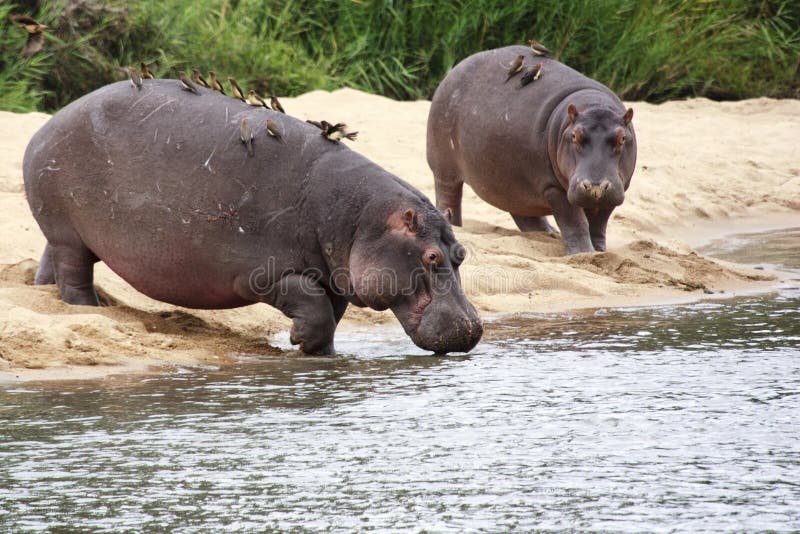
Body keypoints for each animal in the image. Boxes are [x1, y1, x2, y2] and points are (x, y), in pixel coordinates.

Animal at [21, 79, 482, 356]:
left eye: (460, 254)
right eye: (431, 257)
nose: (474, 329)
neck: (362, 219)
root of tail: (45, 126)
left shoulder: (335, 273)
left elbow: (331, 315)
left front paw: (323, 355)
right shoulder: (265, 273)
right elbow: (312, 306)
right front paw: (301, 342)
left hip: (62, 233)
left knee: (51, 262)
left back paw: (42, 290)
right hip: (67, 232)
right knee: (74, 273)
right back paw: (91, 308)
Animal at [424, 45, 636, 255]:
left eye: (622, 138)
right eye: (575, 136)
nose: (595, 187)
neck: (594, 106)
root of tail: (455, 68)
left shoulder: (617, 188)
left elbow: (598, 224)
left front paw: (600, 252)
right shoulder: (553, 187)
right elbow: (575, 221)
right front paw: (583, 254)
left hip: (510, 179)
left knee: (523, 212)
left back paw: (549, 233)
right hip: (444, 169)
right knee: (449, 196)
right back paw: (452, 226)